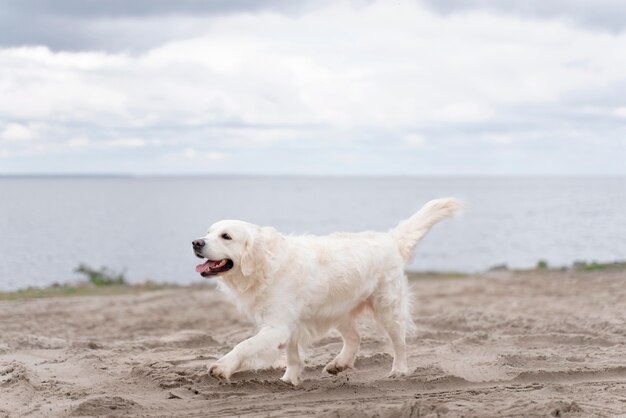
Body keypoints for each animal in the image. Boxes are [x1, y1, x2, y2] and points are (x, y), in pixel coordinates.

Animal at [193, 198, 460, 386]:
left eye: (226, 236)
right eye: (208, 232)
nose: (196, 242)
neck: (264, 265)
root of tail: (390, 238)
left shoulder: (277, 325)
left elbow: (244, 345)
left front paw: (222, 367)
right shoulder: (291, 324)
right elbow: (291, 354)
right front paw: (289, 379)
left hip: (387, 307)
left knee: (399, 342)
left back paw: (399, 370)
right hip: (338, 309)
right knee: (355, 338)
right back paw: (339, 364)